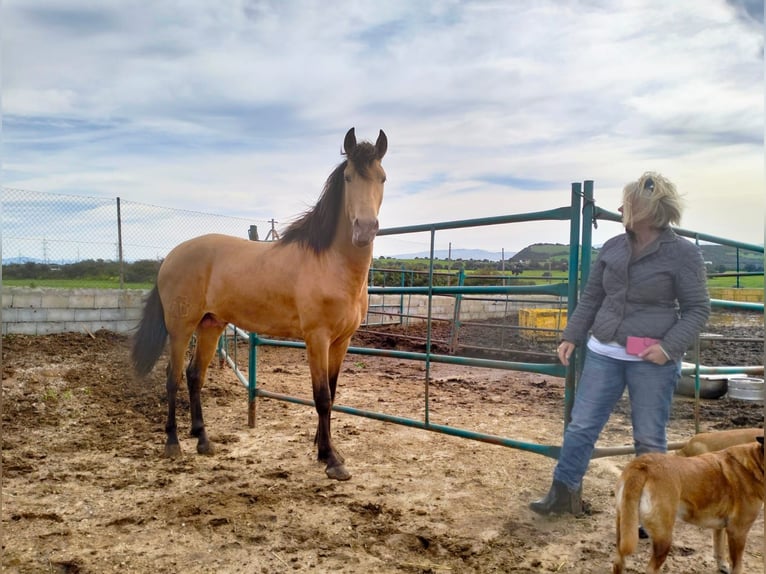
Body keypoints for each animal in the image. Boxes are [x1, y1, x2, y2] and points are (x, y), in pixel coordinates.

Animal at [131, 127, 390, 482]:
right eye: (349, 177)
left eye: (382, 178)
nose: (364, 230)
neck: (329, 263)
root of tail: (170, 257)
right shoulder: (317, 339)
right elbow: (321, 397)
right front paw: (331, 460)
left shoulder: (342, 341)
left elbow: (333, 393)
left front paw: (326, 449)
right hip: (181, 327)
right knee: (173, 376)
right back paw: (173, 443)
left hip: (211, 325)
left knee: (194, 375)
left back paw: (203, 439)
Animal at [616, 436, 764, 574]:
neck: (755, 461)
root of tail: (643, 465)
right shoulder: (738, 531)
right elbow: (737, 565)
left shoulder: (721, 527)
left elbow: (719, 549)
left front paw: (723, 565)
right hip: (664, 536)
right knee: (651, 568)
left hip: (624, 529)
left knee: (618, 561)